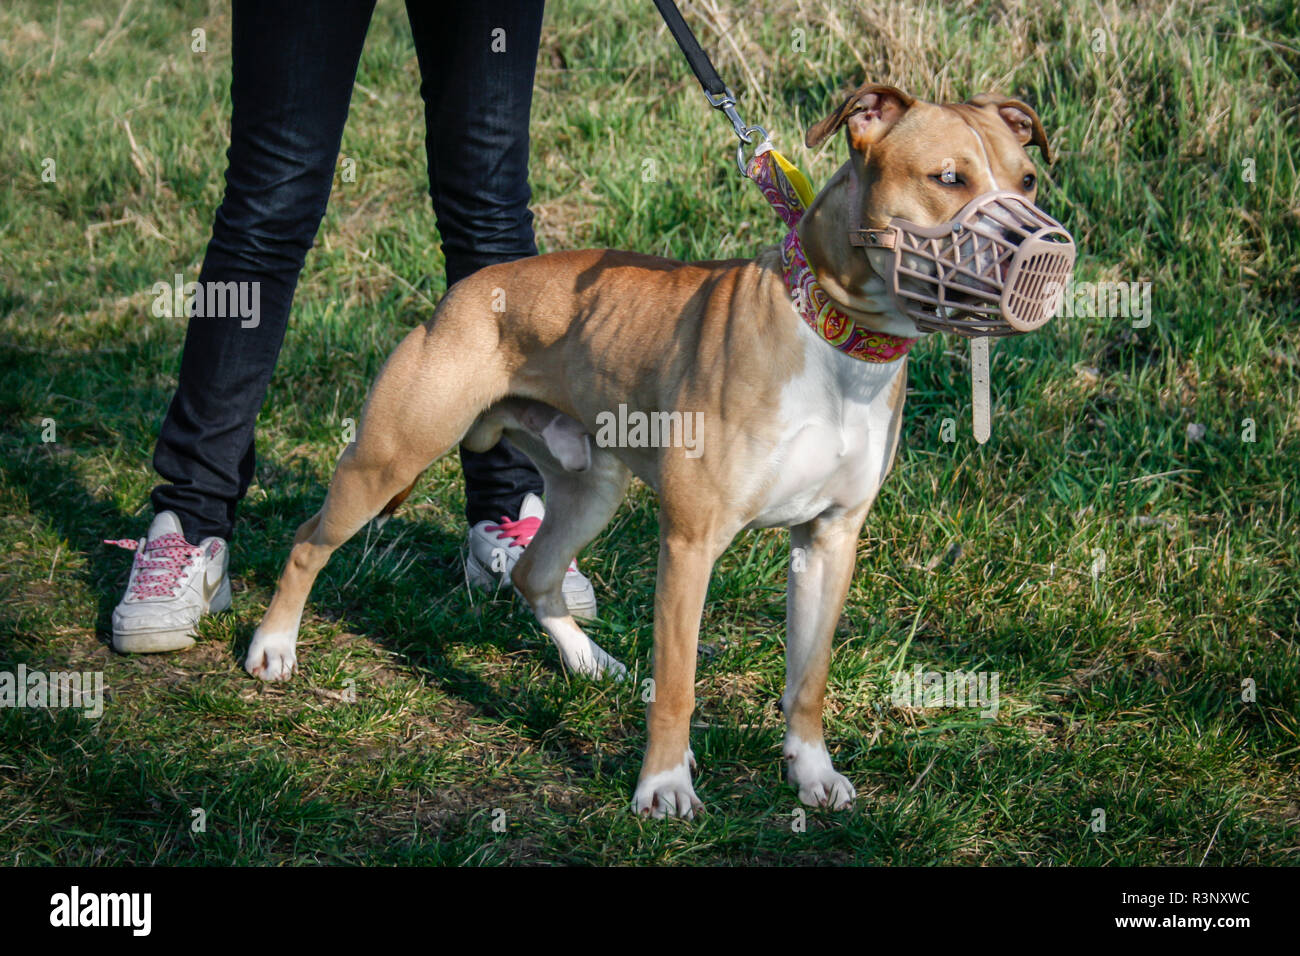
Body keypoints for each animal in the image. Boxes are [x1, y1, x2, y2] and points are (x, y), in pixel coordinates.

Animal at [244, 82, 1055, 816]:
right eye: (948, 179)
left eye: (1027, 180)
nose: (1046, 247)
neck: (833, 337)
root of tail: (466, 291)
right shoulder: (690, 543)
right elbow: (677, 684)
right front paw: (664, 785)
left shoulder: (829, 540)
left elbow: (810, 677)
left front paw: (812, 773)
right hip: (389, 458)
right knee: (310, 541)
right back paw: (274, 647)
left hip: (591, 489)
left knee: (534, 574)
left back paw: (589, 662)